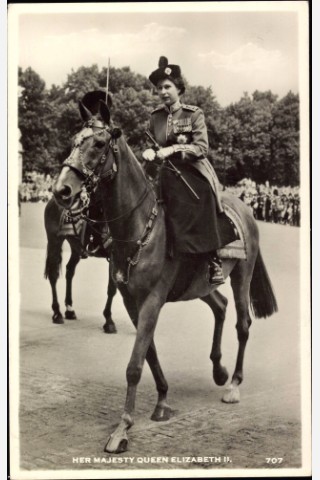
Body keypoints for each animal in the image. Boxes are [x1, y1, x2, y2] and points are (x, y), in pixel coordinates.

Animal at [43, 196, 116, 334]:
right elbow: (112, 289)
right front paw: (109, 321)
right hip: (55, 241)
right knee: (53, 275)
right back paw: (57, 313)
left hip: (76, 247)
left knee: (69, 271)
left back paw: (69, 309)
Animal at [52, 99, 278, 452]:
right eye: (75, 140)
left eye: (99, 144)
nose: (61, 190)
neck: (139, 225)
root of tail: (244, 207)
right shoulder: (133, 302)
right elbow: (149, 353)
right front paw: (162, 402)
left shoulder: (152, 300)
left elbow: (134, 365)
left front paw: (122, 429)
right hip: (201, 285)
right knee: (220, 307)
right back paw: (218, 369)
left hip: (243, 274)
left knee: (242, 323)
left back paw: (233, 384)